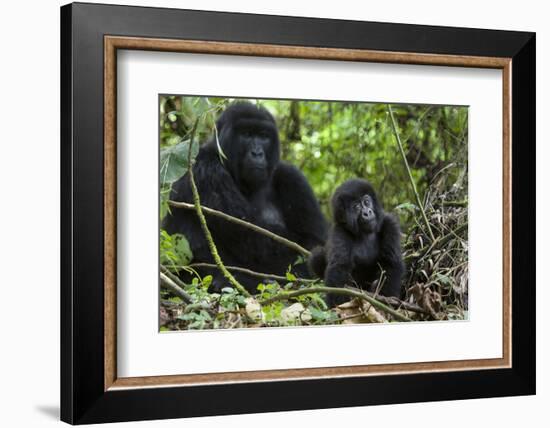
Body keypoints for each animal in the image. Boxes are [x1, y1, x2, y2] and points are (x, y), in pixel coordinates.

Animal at [164, 102, 328, 292]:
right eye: (246, 134)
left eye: (264, 136)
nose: (257, 153)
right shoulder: (204, 167)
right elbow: (253, 239)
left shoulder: (293, 178)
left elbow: (314, 242)